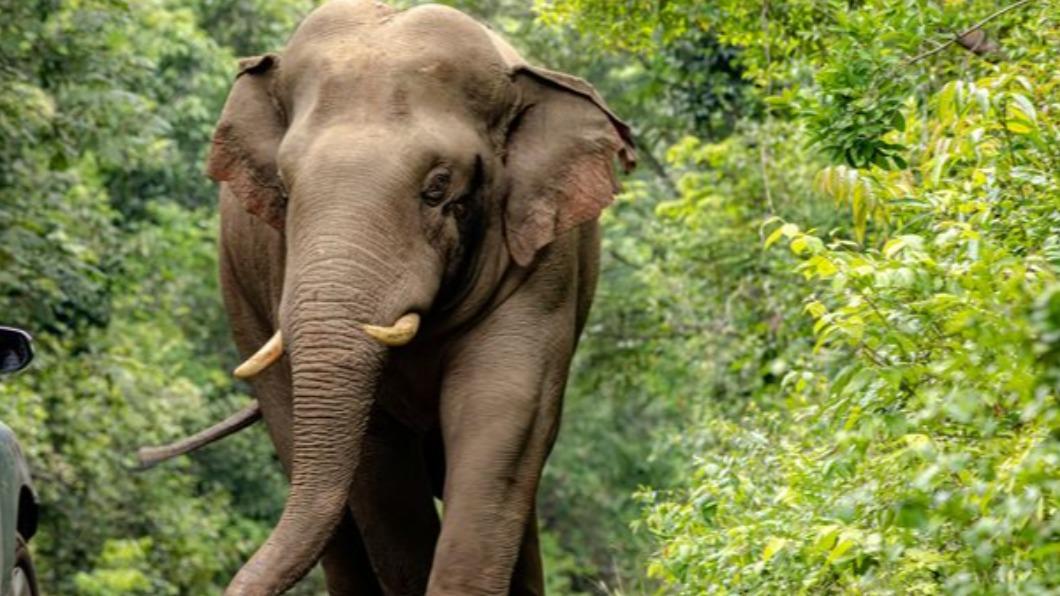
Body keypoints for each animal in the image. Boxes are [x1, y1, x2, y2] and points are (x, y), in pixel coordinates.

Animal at [138, 1, 634, 594]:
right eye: (283, 184)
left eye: (438, 186)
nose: (140, 457)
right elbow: (378, 461)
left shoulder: (544, 261)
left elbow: (503, 411)